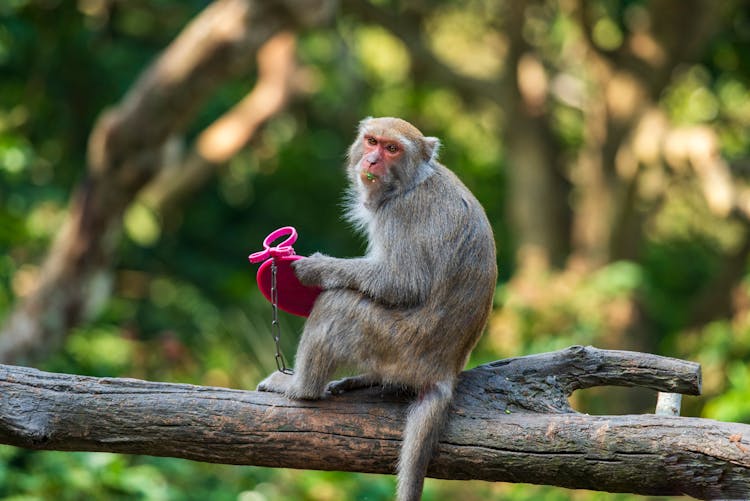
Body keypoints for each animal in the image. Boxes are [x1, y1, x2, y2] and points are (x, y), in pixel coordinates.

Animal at [258, 116, 500, 500]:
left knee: (338, 304)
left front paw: (314, 268)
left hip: (398, 343)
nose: (372, 160)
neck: (409, 184)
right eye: (372, 141)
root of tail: (445, 370)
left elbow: (402, 282)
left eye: (392, 149)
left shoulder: (400, 214)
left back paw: (301, 388)